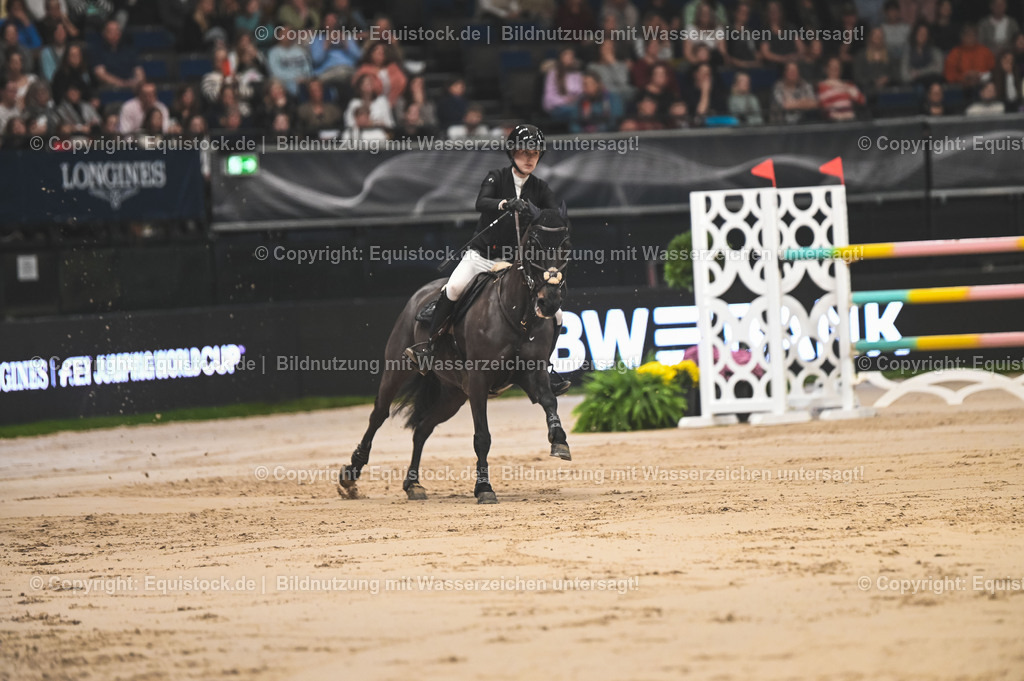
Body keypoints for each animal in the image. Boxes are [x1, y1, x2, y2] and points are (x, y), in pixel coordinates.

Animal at [338, 202, 572, 504]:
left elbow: (549, 401)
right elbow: (482, 436)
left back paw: (413, 484)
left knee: (422, 428)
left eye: (566, 245)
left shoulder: (533, 372)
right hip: (399, 369)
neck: (517, 315)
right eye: (533, 243)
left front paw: (560, 440)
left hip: (454, 394)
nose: (549, 301)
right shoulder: (479, 381)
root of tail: (422, 293)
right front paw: (484, 488)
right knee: (378, 415)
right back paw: (350, 474)